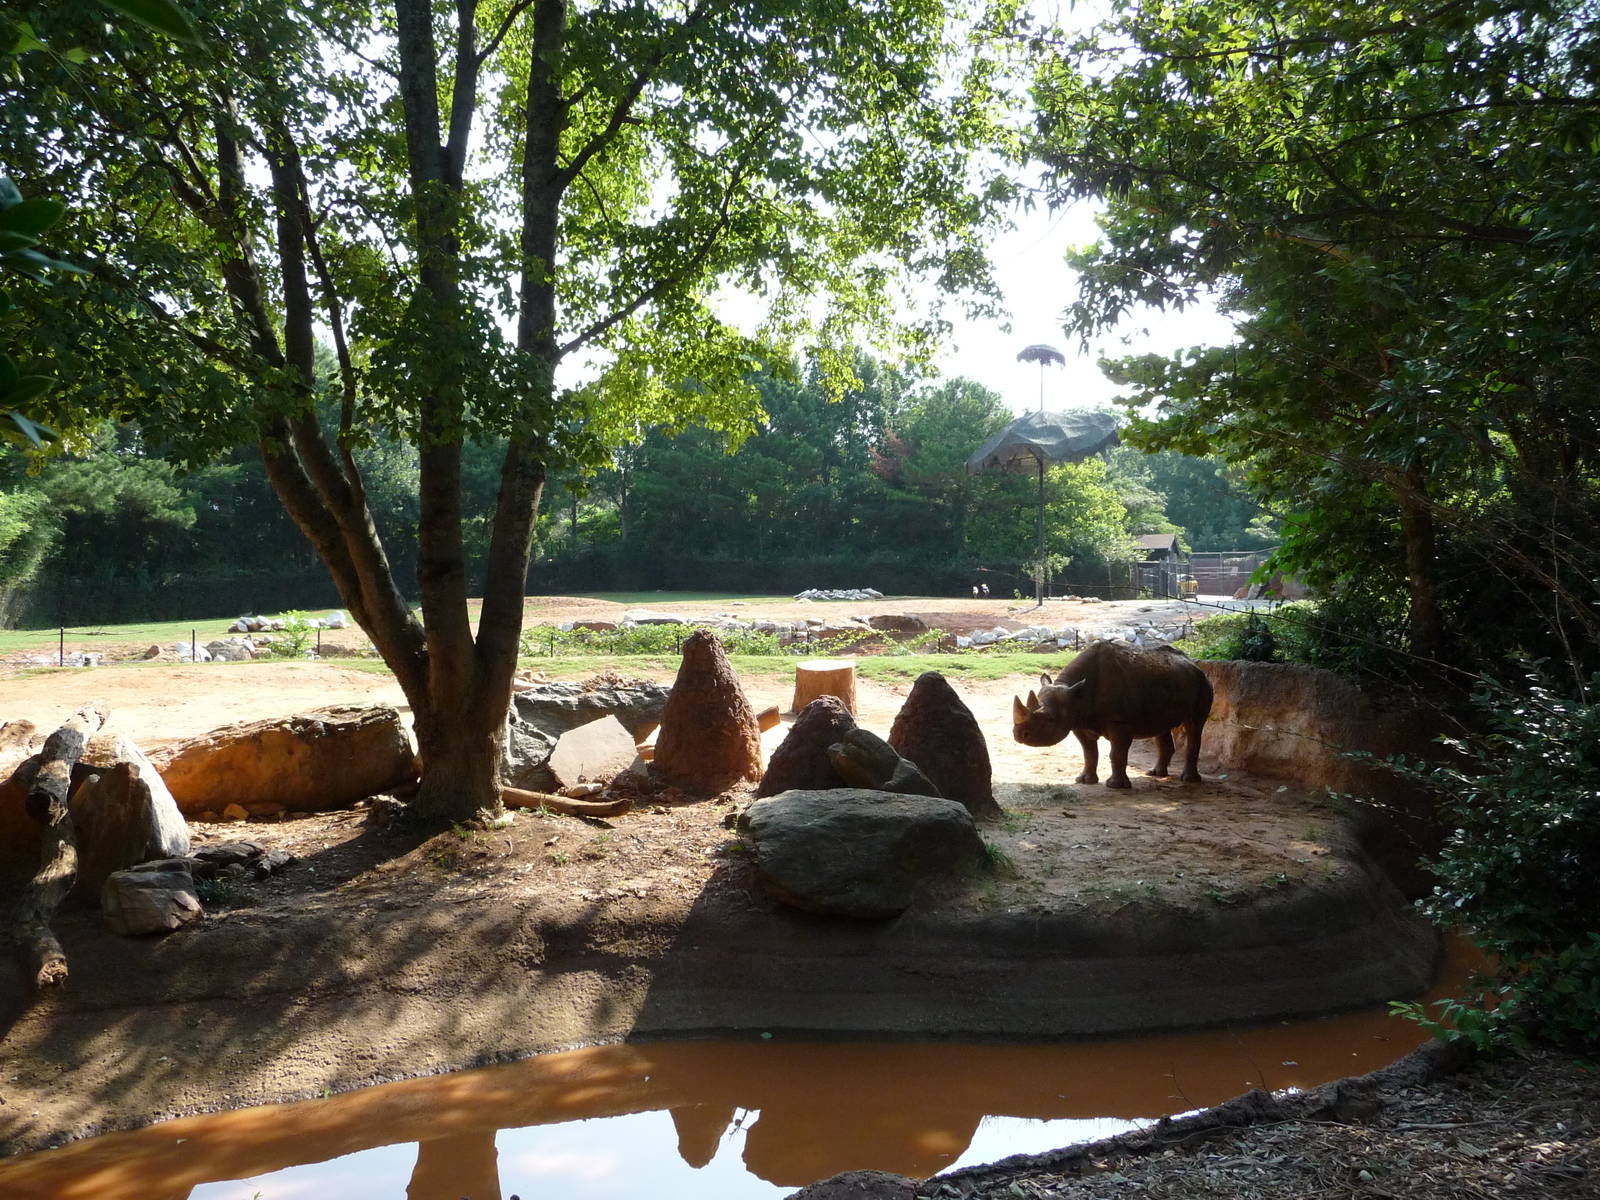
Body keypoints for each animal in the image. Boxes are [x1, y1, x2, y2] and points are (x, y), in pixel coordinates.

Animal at [1012, 640, 1213, 789]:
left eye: (1049, 720)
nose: (1018, 735)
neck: (1074, 695)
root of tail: (1194, 664)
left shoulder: (1120, 723)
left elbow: (1117, 753)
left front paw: (1116, 786)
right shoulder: (1078, 721)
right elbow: (1089, 752)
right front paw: (1084, 781)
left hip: (1203, 683)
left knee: (1194, 725)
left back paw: (1189, 779)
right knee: (1161, 726)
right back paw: (1155, 774)